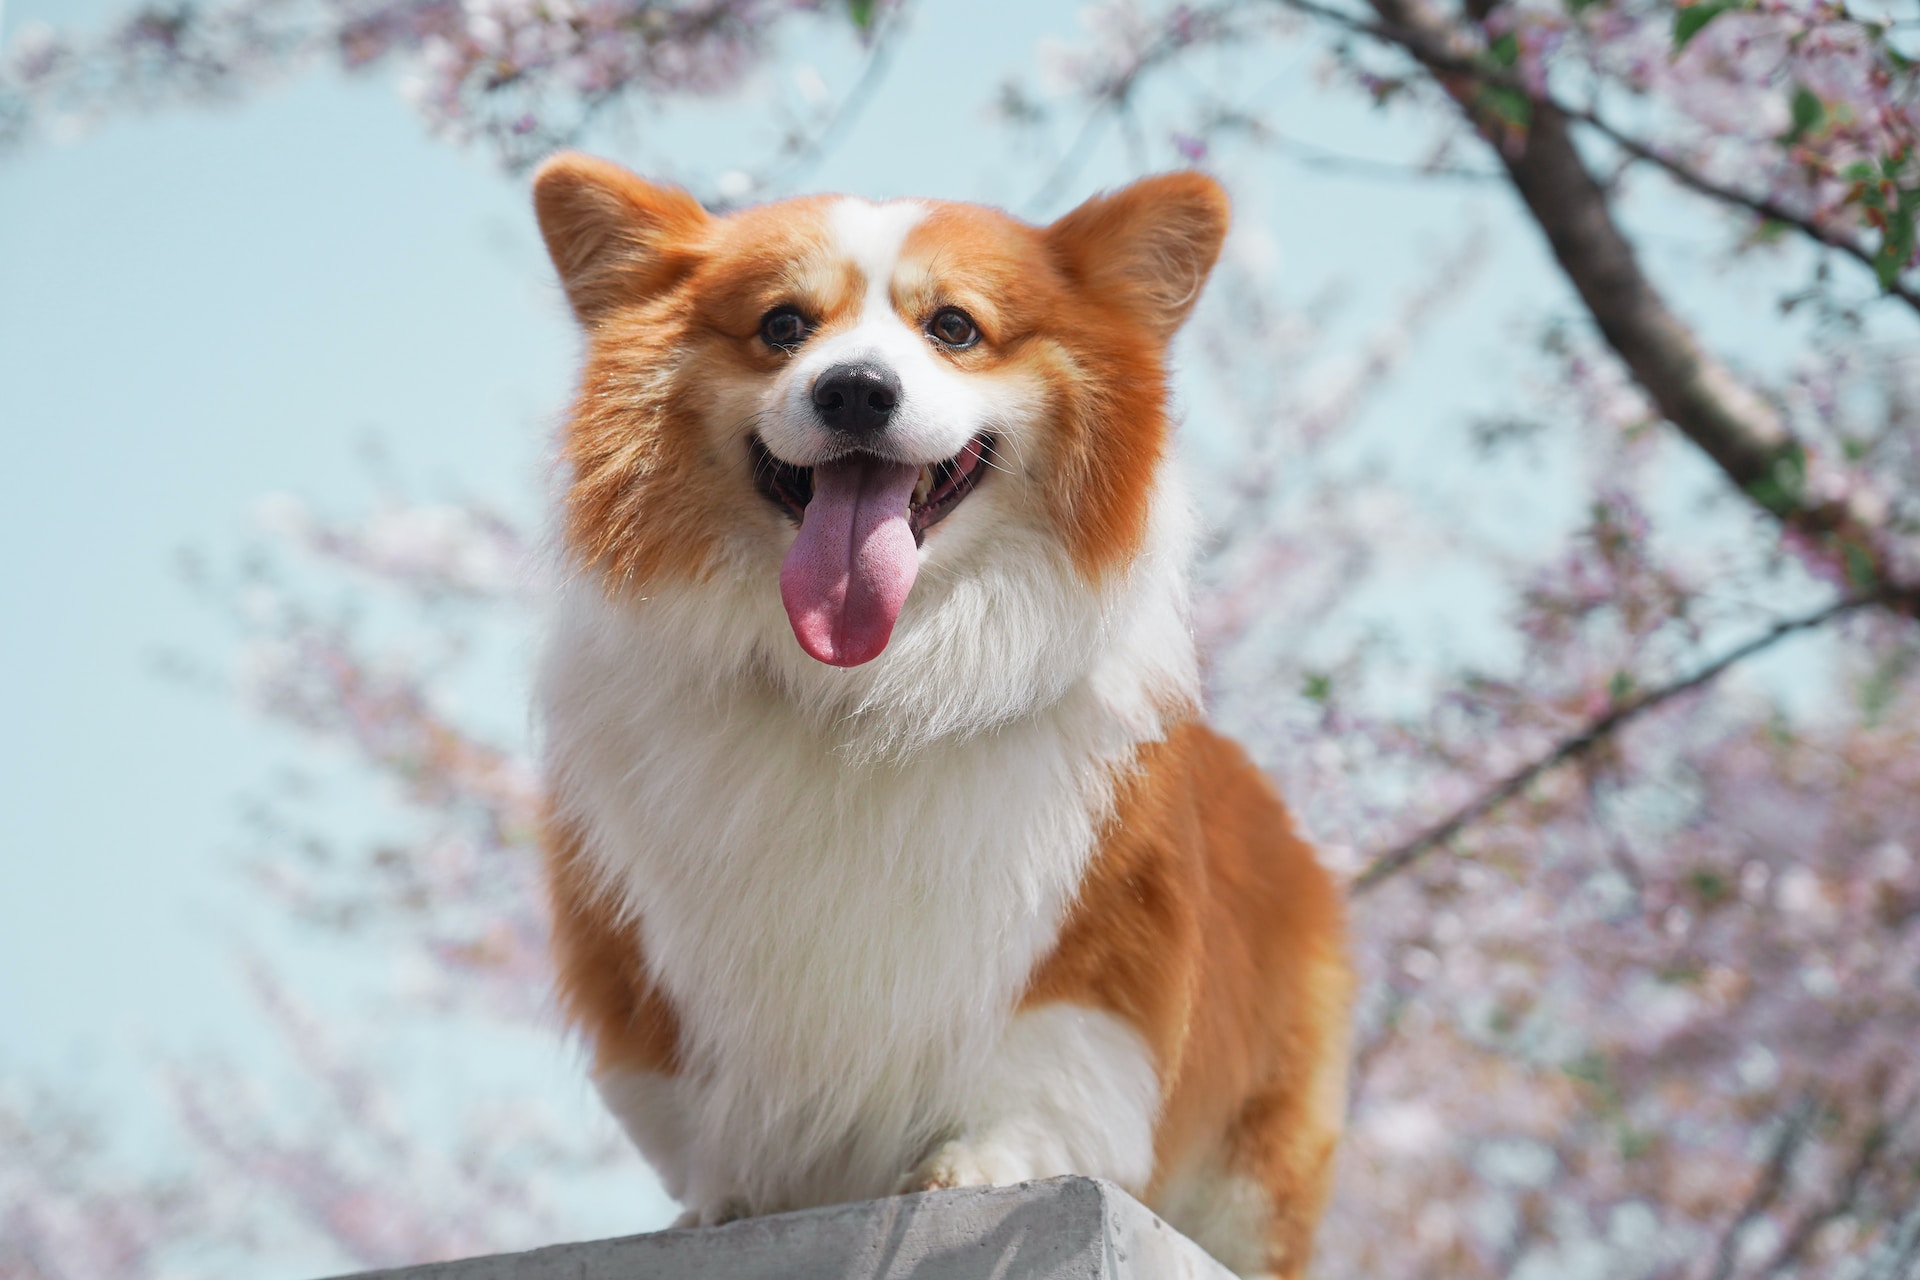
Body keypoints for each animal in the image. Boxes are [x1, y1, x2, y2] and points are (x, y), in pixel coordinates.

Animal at [533, 152, 1359, 1280]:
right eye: (783, 325)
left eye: (955, 326)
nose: (854, 388)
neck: (864, 685)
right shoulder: (651, 961)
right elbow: (710, 1113)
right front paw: (724, 1205)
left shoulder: (1090, 938)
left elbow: (1036, 1069)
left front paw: (975, 1166)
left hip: (1255, 1166)